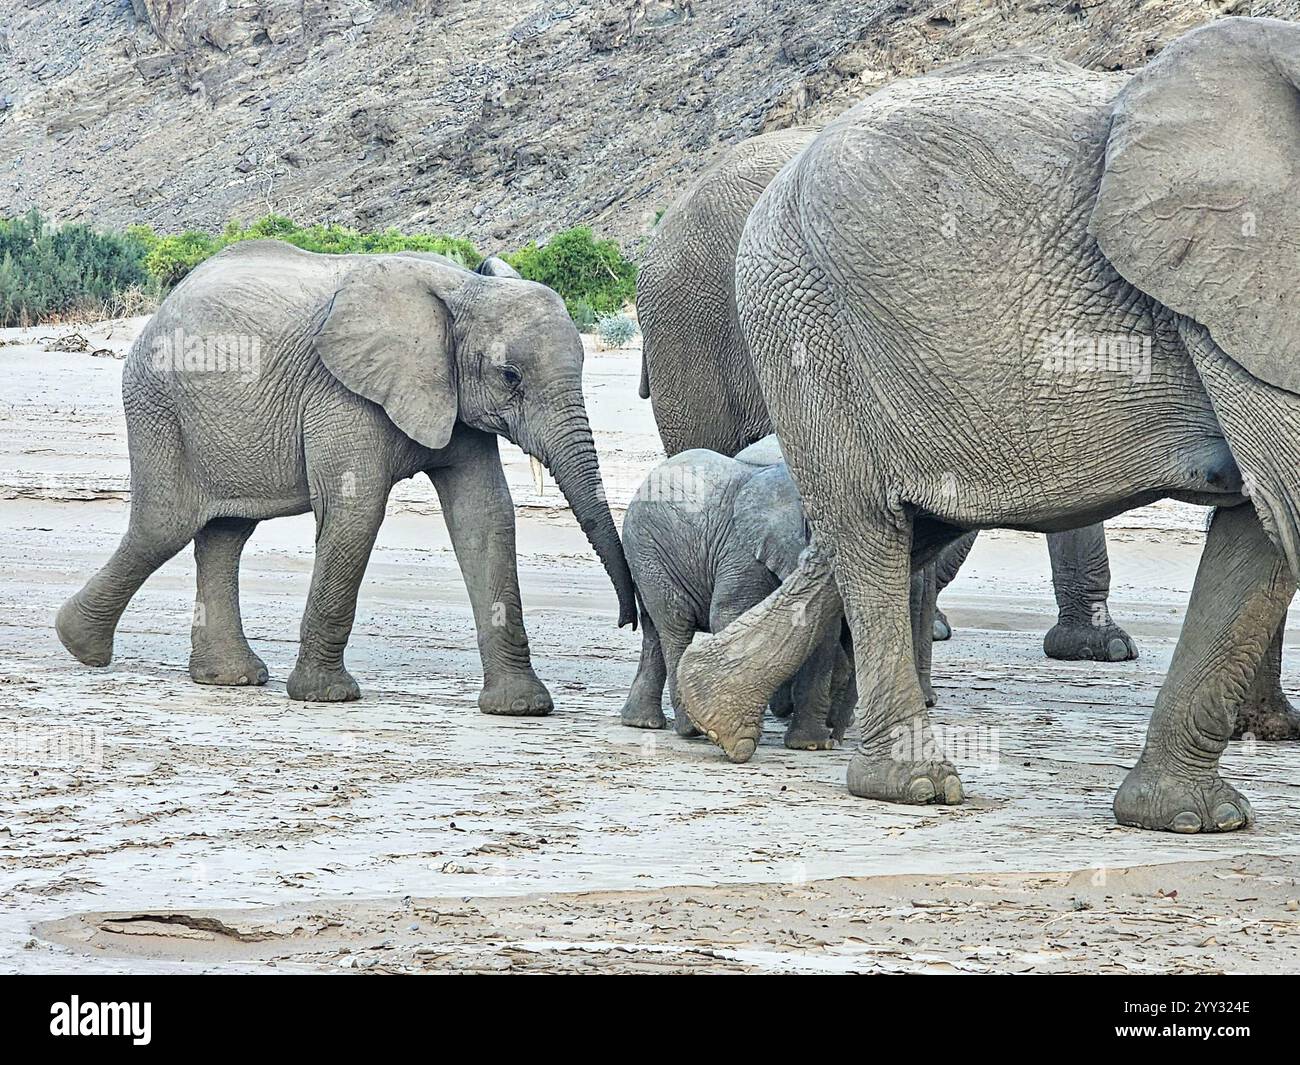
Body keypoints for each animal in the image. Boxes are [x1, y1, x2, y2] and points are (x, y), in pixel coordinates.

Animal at [58, 237, 637, 712]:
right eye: (510, 376)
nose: (627, 620)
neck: (464, 288)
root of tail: (162, 307)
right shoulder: (342, 392)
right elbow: (356, 512)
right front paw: (327, 697)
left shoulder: (453, 400)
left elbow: (485, 517)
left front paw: (520, 708)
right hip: (159, 405)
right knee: (165, 526)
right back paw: (79, 645)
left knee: (225, 533)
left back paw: (229, 678)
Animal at [618, 439, 852, 749]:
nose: (837, 736)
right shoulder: (742, 551)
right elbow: (728, 615)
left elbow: (821, 631)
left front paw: (810, 745)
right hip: (648, 552)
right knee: (675, 624)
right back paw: (689, 729)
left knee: (653, 630)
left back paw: (642, 722)